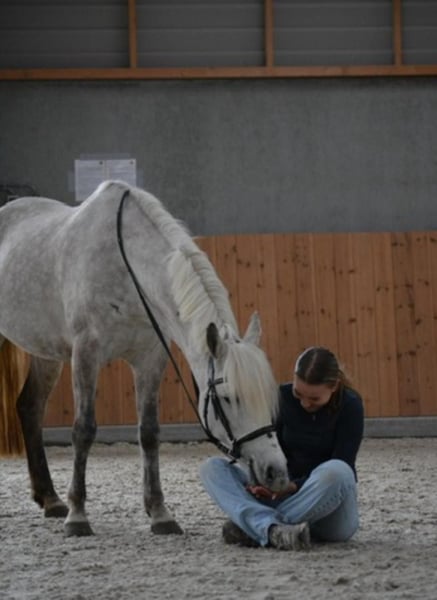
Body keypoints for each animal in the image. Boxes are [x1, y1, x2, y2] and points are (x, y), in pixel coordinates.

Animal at [0, 180, 289, 537]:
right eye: (227, 398)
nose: (276, 472)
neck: (126, 266)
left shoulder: (150, 358)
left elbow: (149, 433)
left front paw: (159, 513)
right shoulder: (86, 353)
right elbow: (84, 430)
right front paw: (78, 515)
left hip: (46, 352)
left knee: (30, 407)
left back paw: (50, 499)